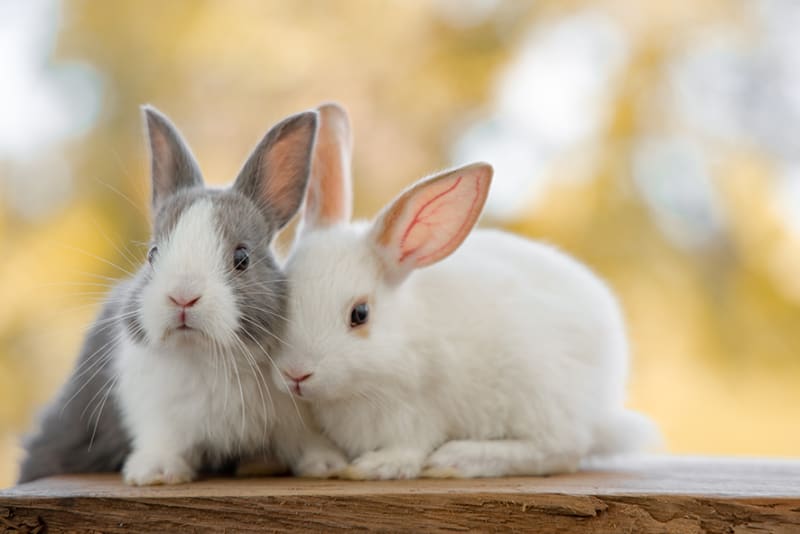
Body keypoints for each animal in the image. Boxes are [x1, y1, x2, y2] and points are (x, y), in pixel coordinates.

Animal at [19, 105, 347, 485]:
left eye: (242, 258)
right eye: (153, 253)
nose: (182, 297)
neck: (206, 356)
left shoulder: (294, 416)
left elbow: (304, 441)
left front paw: (327, 465)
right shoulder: (156, 415)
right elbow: (163, 440)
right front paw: (155, 473)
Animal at [271, 108, 658, 480]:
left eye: (360, 314)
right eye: (283, 295)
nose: (296, 374)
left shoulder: (416, 415)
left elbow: (407, 450)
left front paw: (373, 467)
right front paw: (323, 465)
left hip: (540, 396)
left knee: (561, 450)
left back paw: (458, 459)